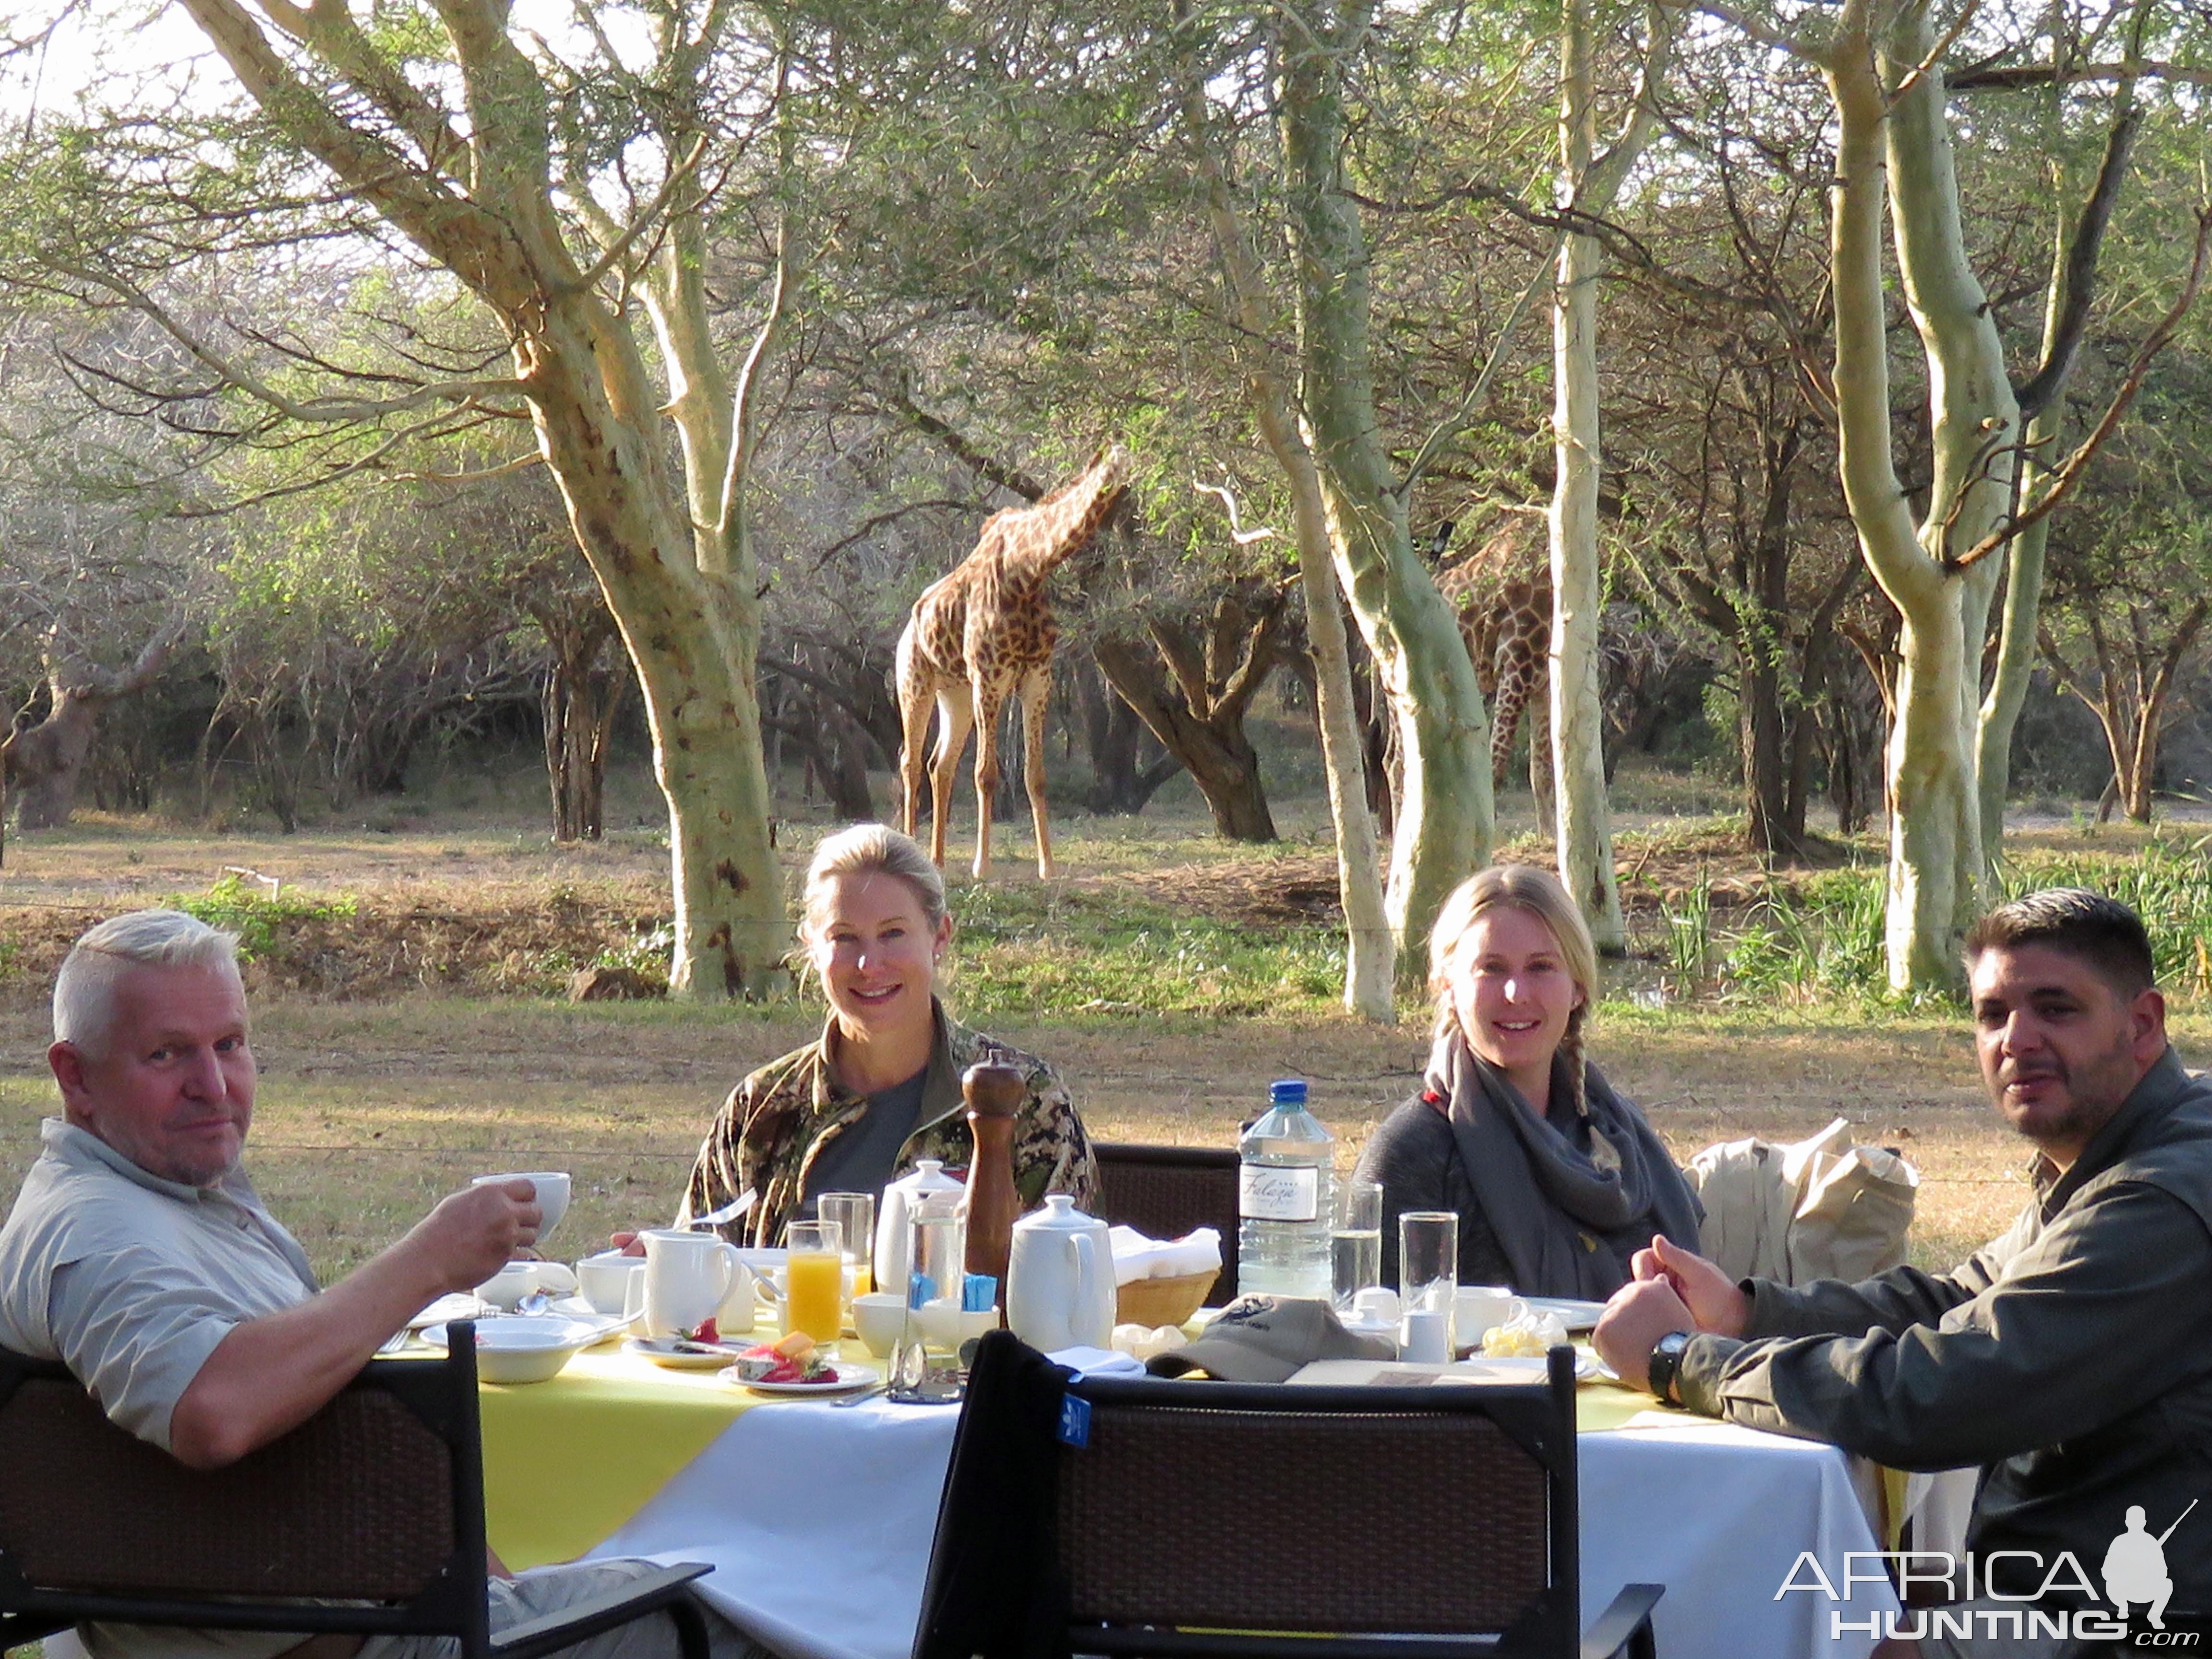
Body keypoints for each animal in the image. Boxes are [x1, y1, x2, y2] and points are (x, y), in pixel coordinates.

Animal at [898, 442, 1132, 885]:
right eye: (1120, 466)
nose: (1127, 506)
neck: (1029, 569)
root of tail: (908, 629)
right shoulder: (990, 676)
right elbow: (986, 773)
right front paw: (982, 867)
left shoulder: (1037, 677)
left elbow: (1035, 776)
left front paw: (1048, 867)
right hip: (915, 683)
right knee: (911, 761)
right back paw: (910, 850)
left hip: (955, 693)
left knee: (940, 764)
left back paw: (938, 861)